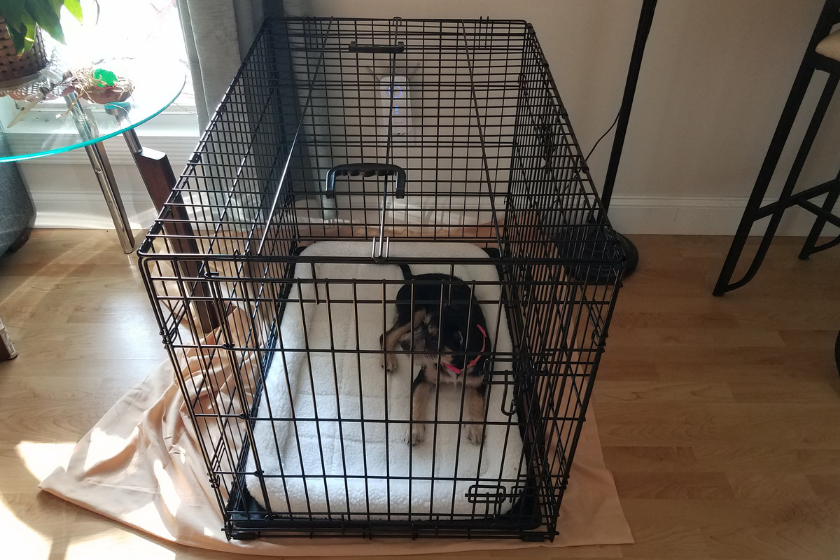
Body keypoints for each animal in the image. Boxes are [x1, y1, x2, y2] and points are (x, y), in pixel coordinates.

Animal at [380, 266, 492, 446]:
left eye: (434, 339)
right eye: (425, 326)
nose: (404, 346)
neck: (452, 362)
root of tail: (413, 277)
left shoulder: (479, 380)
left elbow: (477, 401)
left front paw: (475, 429)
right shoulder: (422, 379)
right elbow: (416, 402)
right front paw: (414, 431)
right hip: (415, 312)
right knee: (387, 335)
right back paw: (388, 360)